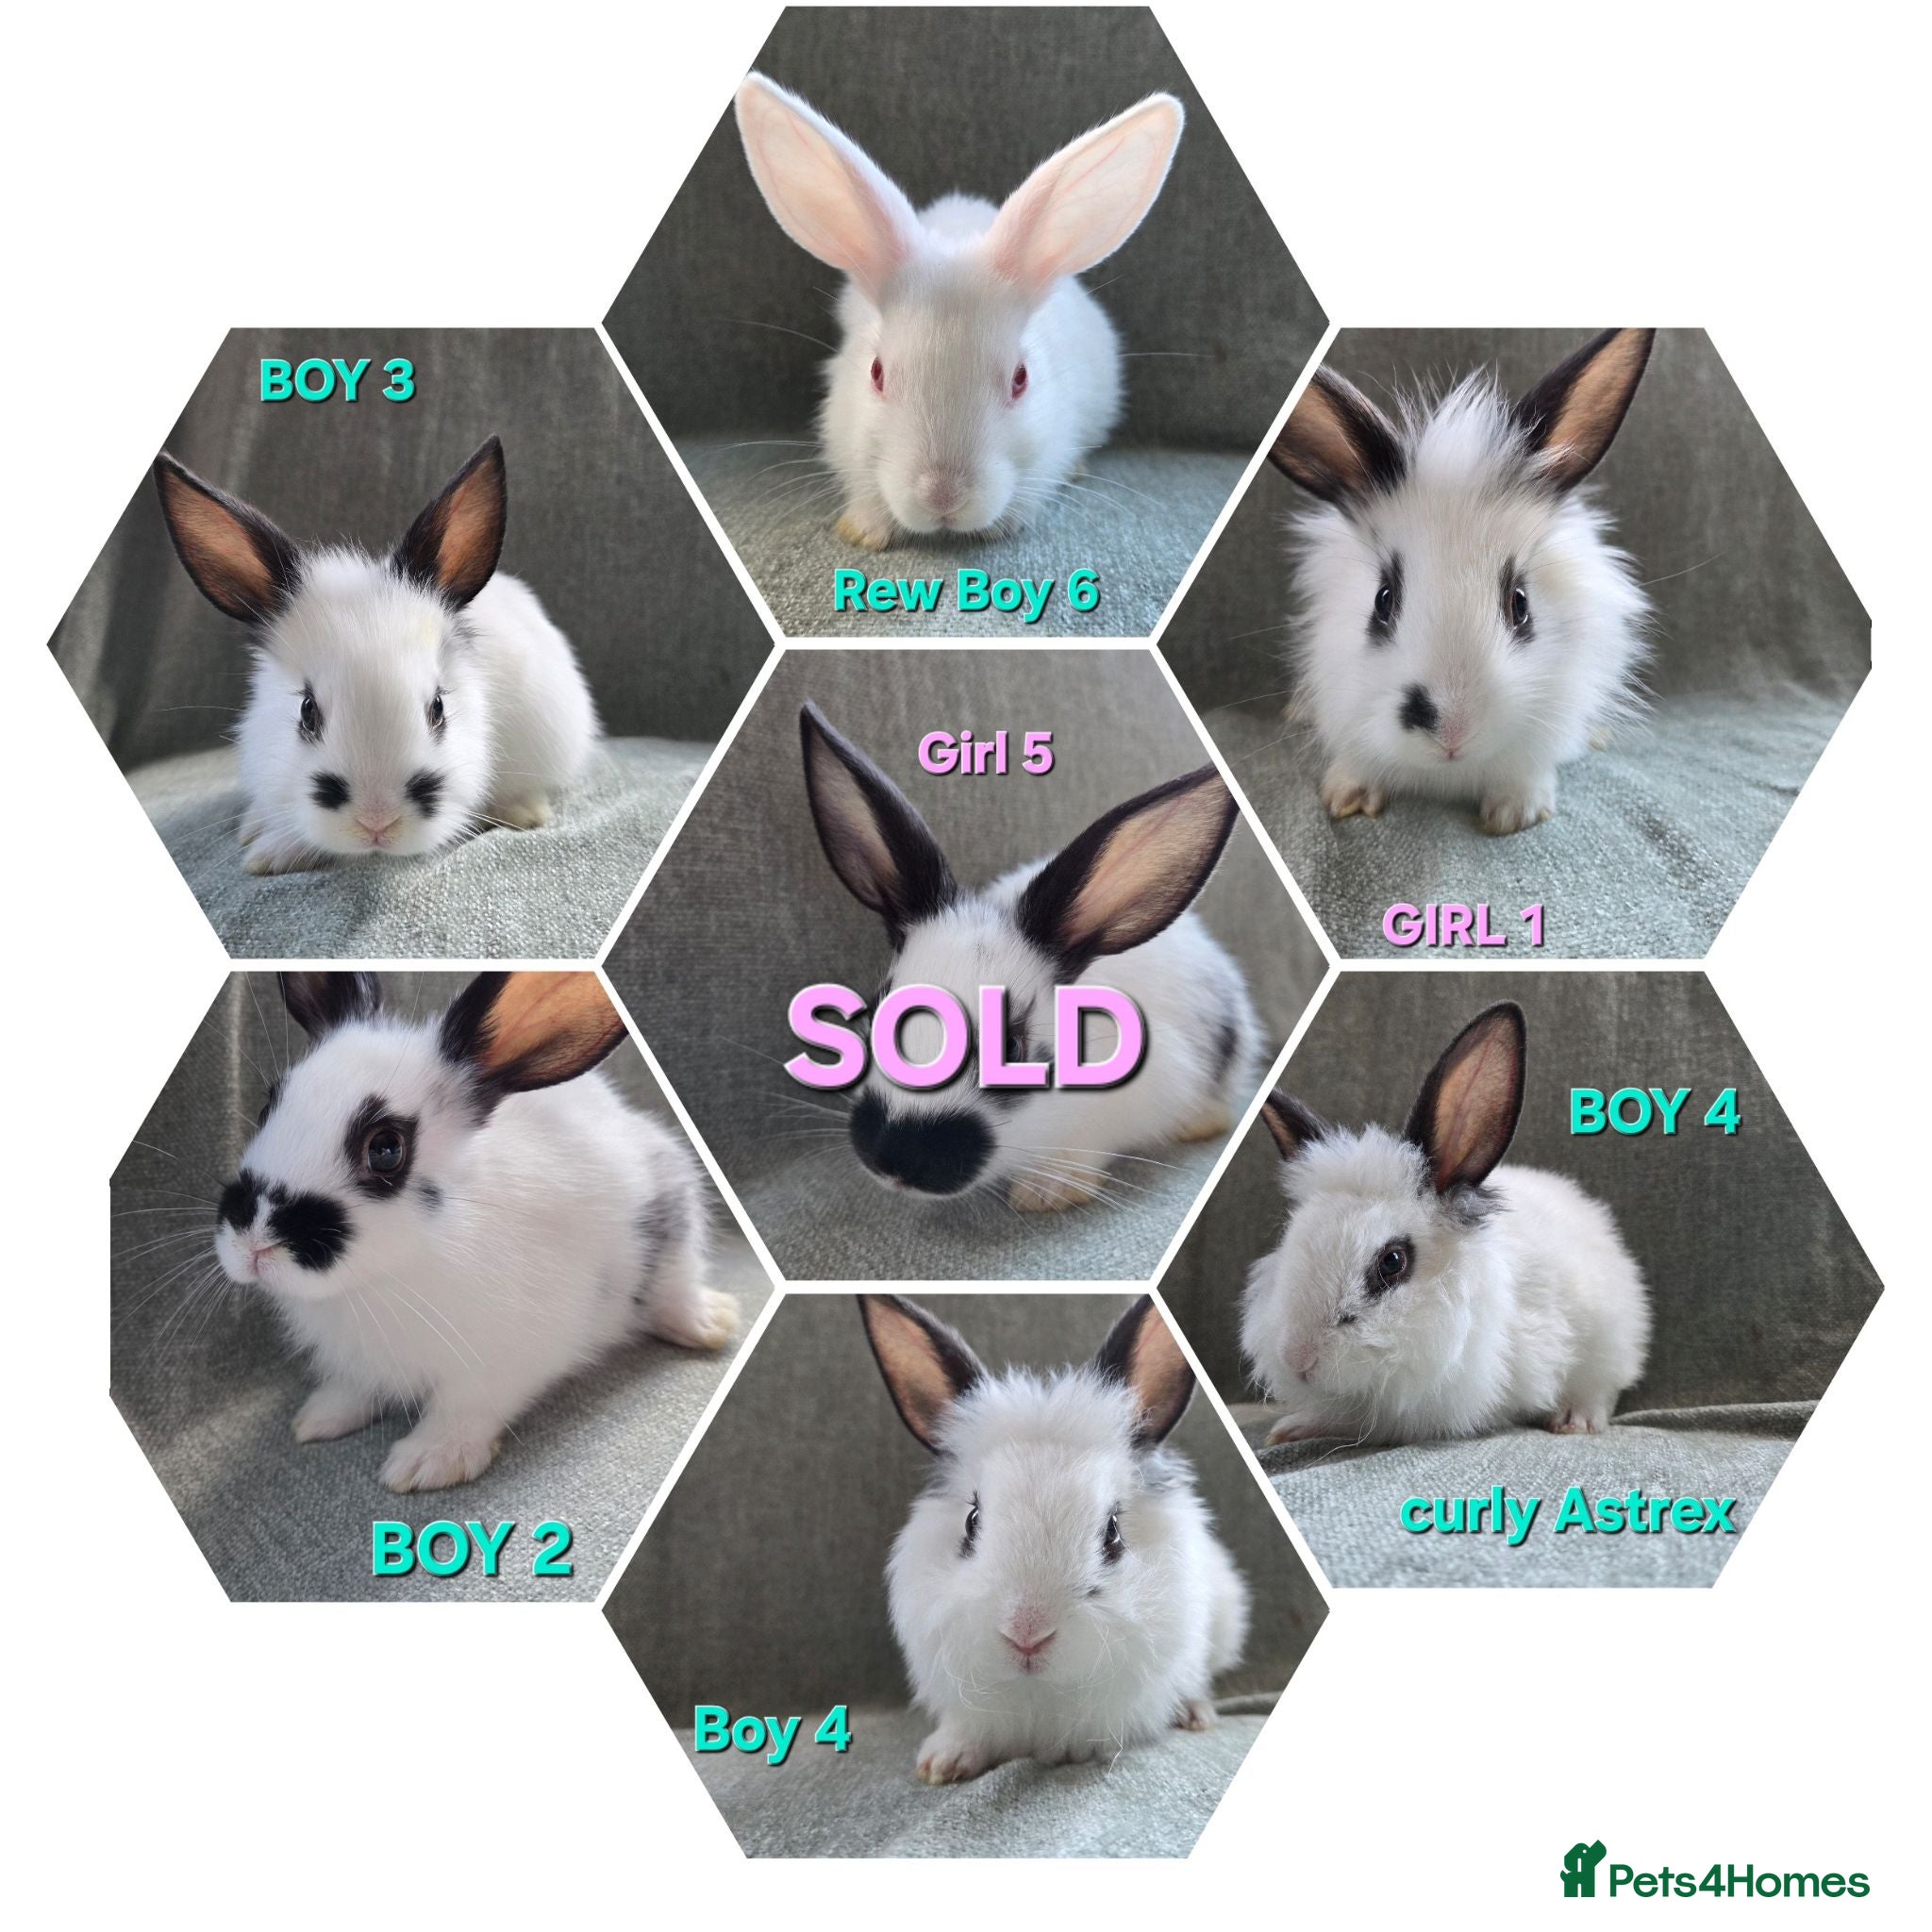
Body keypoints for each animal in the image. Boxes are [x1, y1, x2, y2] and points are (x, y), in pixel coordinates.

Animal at [209, 970, 739, 1492]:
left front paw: (426, 1464)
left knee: (675, 1288)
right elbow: (356, 1389)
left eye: (385, 1149)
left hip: (671, 1216)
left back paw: (710, 1325)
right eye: (268, 1107)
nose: (254, 1244)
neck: (379, 1283)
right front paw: (319, 1419)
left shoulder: (506, 1355)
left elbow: (464, 1408)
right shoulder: (360, 1361)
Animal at [861, 1292, 1250, 1783]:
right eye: (971, 1522)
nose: (1026, 1634)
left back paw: (1195, 1714)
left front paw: (1072, 1751)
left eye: (1113, 1533)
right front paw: (941, 1765)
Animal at [1241, 1001, 1650, 1447]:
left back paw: (1576, 1420)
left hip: (1608, 1339)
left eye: (1392, 1261)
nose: (1298, 1358)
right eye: (1290, 1241)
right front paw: (1290, 1429)